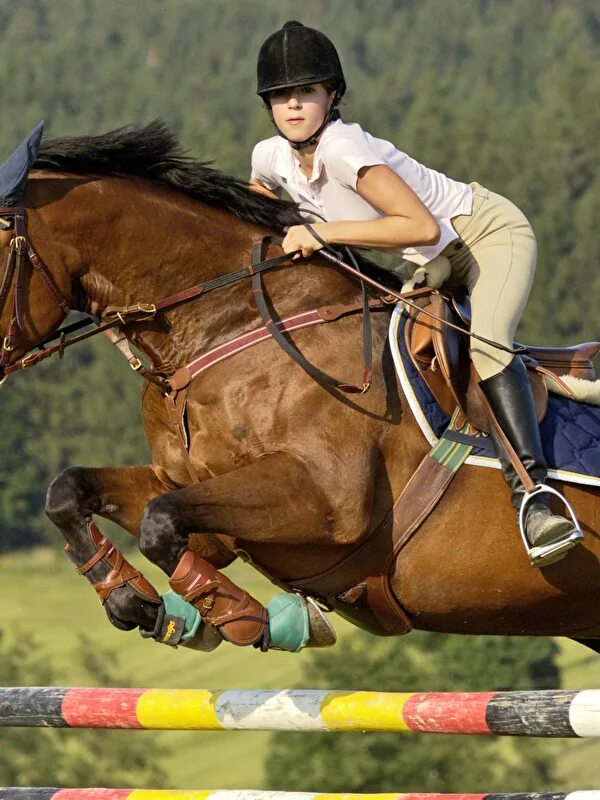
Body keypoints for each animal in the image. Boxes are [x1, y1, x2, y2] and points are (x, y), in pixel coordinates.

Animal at [1, 122, 600, 652]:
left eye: (0, 242)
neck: (226, 324)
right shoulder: (194, 502)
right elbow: (71, 492)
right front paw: (139, 602)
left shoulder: (327, 501)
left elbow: (159, 522)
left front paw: (244, 616)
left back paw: (542, 518)